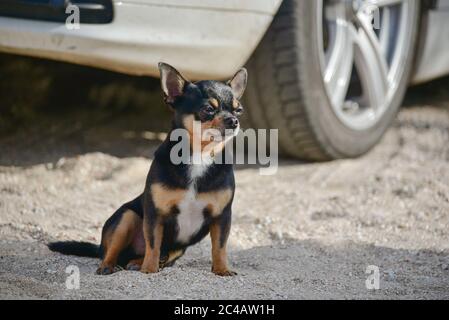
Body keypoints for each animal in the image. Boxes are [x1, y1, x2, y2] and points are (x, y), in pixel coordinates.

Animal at [49, 62, 247, 276]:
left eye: (238, 110)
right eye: (208, 109)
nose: (233, 121)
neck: (199, 156)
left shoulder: (222, 217)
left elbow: (219, 246)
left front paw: (222, 270)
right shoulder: (155, 215)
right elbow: (153, 244)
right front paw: (149, 270)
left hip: (178, 249)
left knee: (158, 255)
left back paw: (137, 262)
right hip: (126, 218)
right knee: (111, 251)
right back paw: (110, 266)